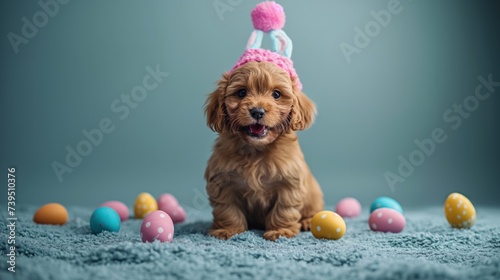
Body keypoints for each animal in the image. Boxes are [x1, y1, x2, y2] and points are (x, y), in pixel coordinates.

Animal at [204, 61, 324, 241]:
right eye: (241, 93)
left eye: (276, 94)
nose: (257, 111)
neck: (256, 149)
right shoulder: (222, 182)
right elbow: (227, 209)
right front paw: (227, 230)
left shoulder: (289, 183)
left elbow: (283, 209)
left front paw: (280, 231)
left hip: (314, 196)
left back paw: (308, 221)